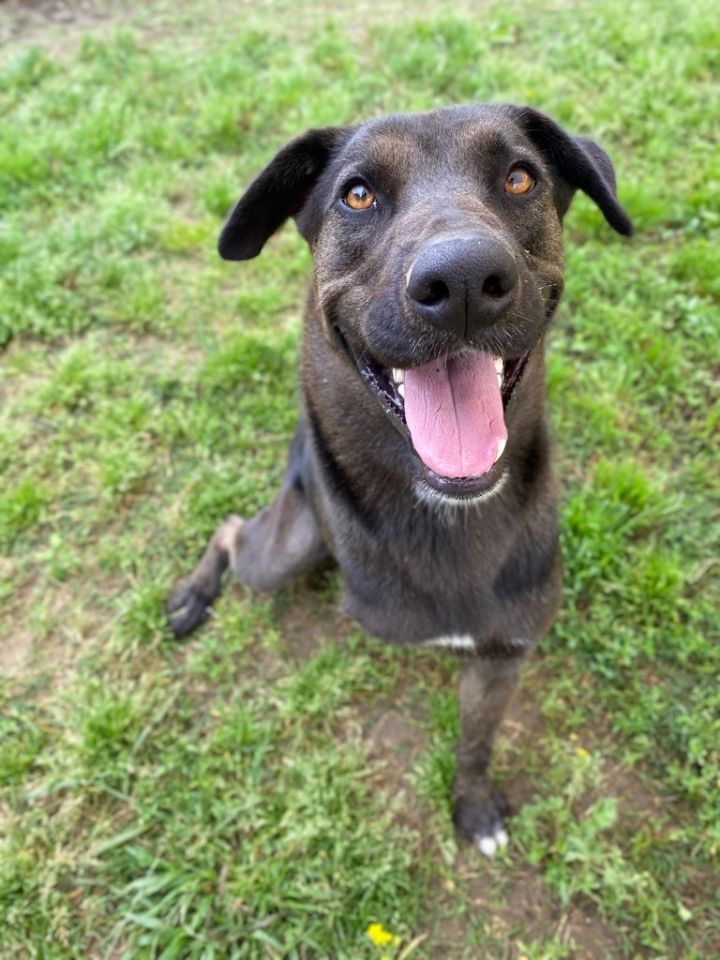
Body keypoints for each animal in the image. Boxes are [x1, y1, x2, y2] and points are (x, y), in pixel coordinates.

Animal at [167, 103, 632, 856]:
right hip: (288, 547)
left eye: (520, 177)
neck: (447, 511)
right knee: (233, 530)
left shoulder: (503, 654)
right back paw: (192, 596)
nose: (465, 281)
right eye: (357, 194)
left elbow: (476, 743)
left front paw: (474, 808)